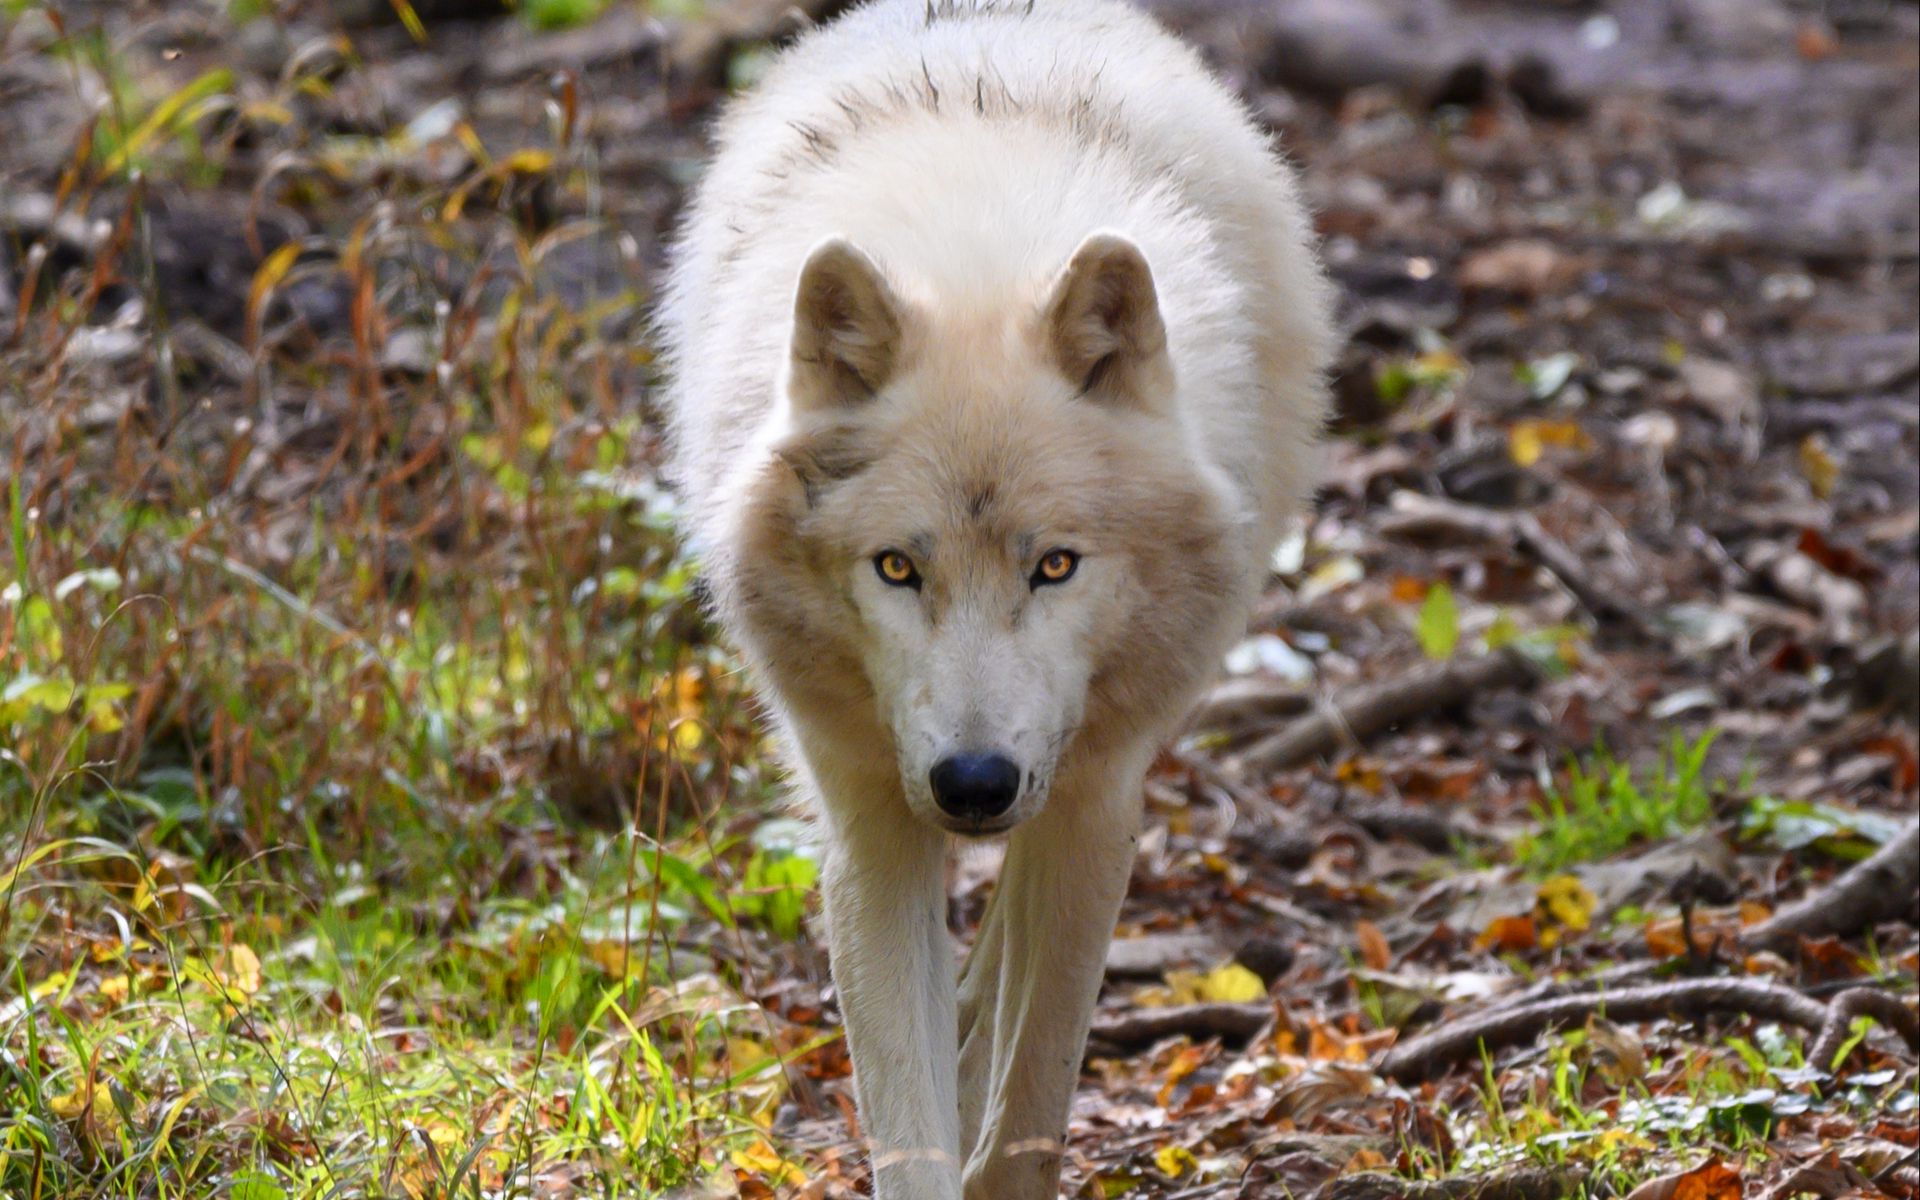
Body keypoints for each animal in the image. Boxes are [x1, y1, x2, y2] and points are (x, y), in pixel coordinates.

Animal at [660, 4, 1336, 1190]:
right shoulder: (868, 815)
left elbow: (1035, 1094)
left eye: (1055, 565)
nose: (972, 782)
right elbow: (909, 1116)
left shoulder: (1095, 803)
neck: (974, 255)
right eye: (896, 568)